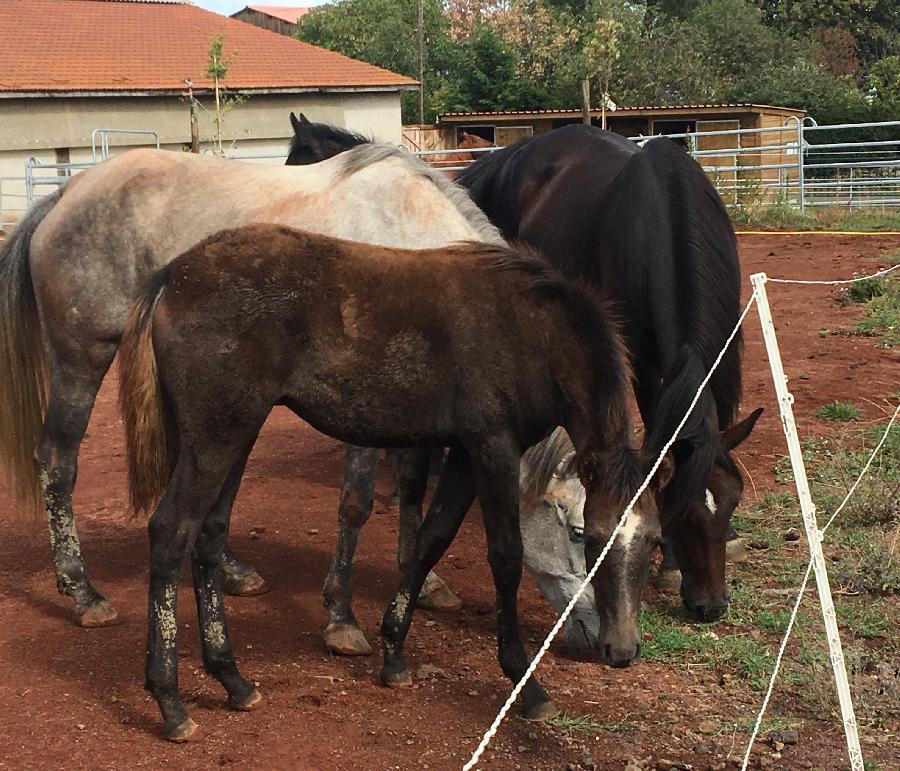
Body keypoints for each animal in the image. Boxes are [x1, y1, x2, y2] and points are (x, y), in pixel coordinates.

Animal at [118, 225, 668, 740]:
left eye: (656, 541)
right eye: (586, 536)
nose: (621, 649)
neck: (533, 333)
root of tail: (174, 275)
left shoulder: (464, 452)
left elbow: (429, 541)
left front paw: (394, 655)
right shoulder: (493, 446)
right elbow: (506, 557)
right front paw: (526, 684)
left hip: (236, 432)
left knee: (208, 537)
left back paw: (232, 680)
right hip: (217, 436)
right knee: (172, 531)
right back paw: (171, 703)